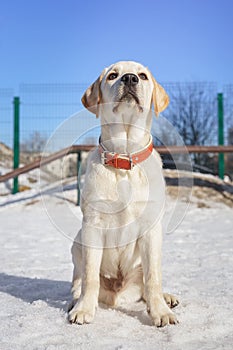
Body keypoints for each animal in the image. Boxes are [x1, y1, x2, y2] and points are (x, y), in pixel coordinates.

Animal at [68, 61, 179, 326]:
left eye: (142, 76)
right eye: (112, 76)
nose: (129, 79)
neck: (124, 159)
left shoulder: (151, 227)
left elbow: (153, 277)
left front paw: (160, 312)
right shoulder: (93, 224)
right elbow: (90, 276)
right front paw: (83, 309)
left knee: (149, 283)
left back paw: (166, 297)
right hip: (77, 242)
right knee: (79, 280)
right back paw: (74, 299)